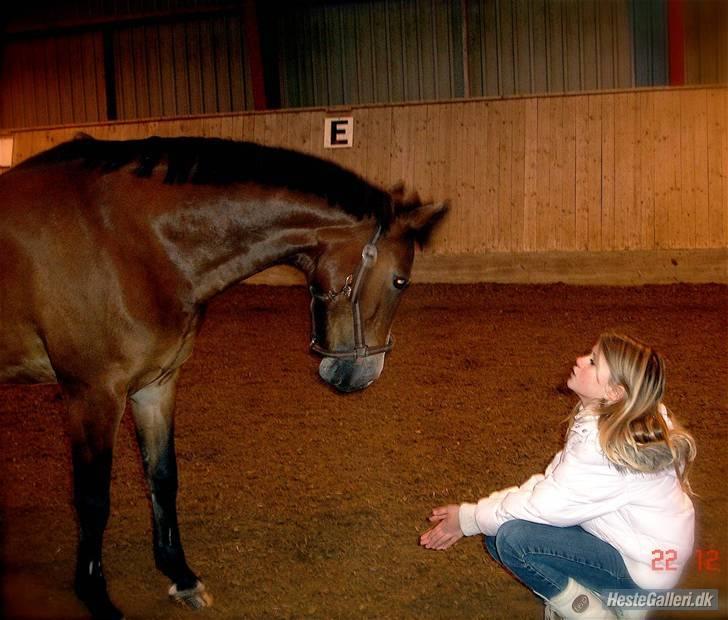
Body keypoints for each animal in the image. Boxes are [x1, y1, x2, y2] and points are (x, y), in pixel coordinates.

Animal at [0, 134, 446, 616]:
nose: (362, 375)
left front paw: (181, 576)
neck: (128, 241)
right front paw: (95, 594)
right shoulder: (92, 394)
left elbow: (163, 478)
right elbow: (92, 498)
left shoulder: (155, 386)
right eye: (401, 281)